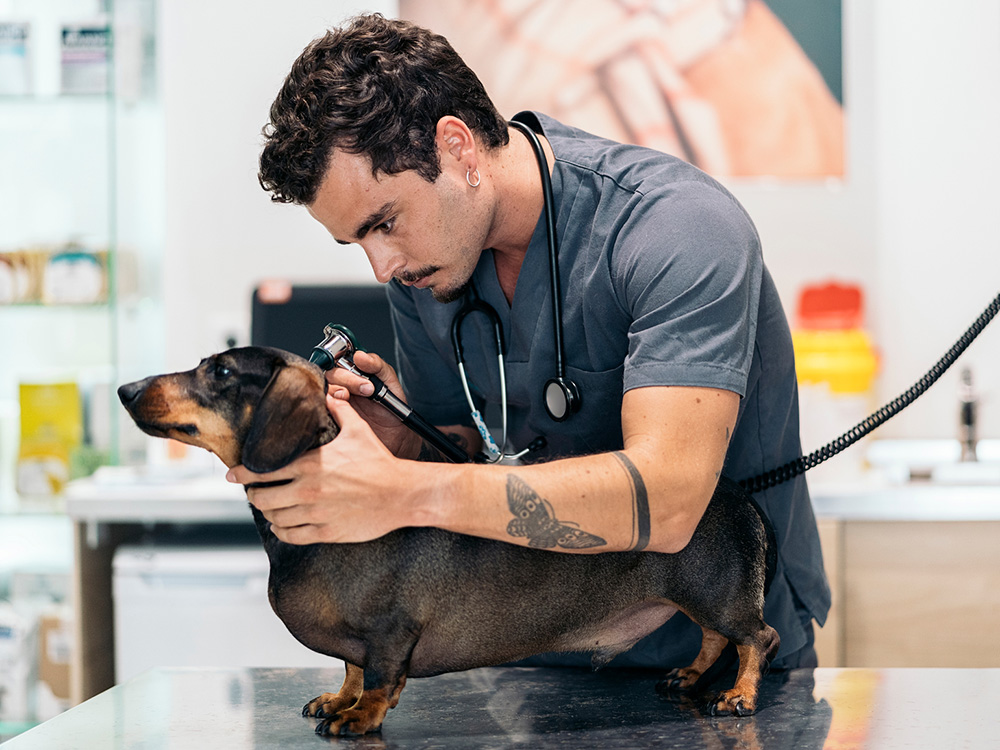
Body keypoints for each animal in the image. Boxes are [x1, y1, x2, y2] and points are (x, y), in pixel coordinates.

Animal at [119, 350, 780, 736]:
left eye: (221, 372)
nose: (125, 389)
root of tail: (740, 492)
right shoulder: (359, 635)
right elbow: (351, 665)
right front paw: (338, 699)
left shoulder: (390, 628)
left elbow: (379, 677)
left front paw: (360, 716)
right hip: (702, 599)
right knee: (715, 638)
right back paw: (689, 676)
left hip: (715, 593)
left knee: (756, 637)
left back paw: (738, 696)